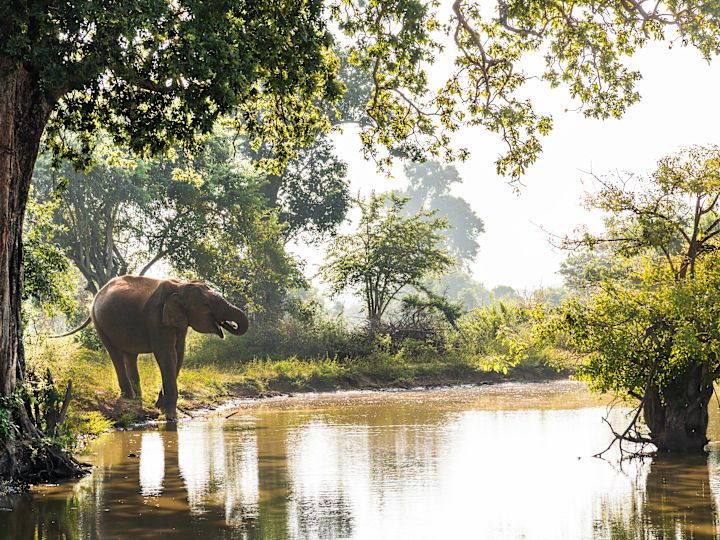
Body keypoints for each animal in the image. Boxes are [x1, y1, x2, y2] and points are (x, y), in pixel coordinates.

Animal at [58, 275, 249, 420]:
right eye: (207, 305)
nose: (227, 325)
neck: (179, 286)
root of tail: (98, 294)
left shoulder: (178, 322)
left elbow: (178, 354)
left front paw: (160, 406)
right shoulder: (156, 317)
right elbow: (166, 354)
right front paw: (170, 416)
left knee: (130, 355)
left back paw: (137, 397)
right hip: (99, 323)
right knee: (115, 353)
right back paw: (129, 396)